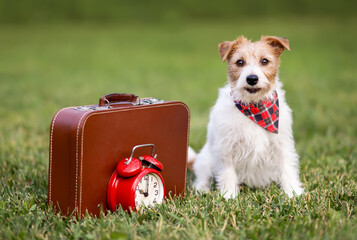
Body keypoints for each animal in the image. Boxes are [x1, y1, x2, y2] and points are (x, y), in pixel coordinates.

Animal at [188, 35, 302, 199]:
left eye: (264, 61)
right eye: (240, 62)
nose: (252, 79)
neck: (254, 108)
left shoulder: (282, 145)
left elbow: (287, 168)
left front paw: (293, 192)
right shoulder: (227, 148)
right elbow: (228, 173)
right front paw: (229, 195)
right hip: (206, 161)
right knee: (202, 177)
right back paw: (202, 190)